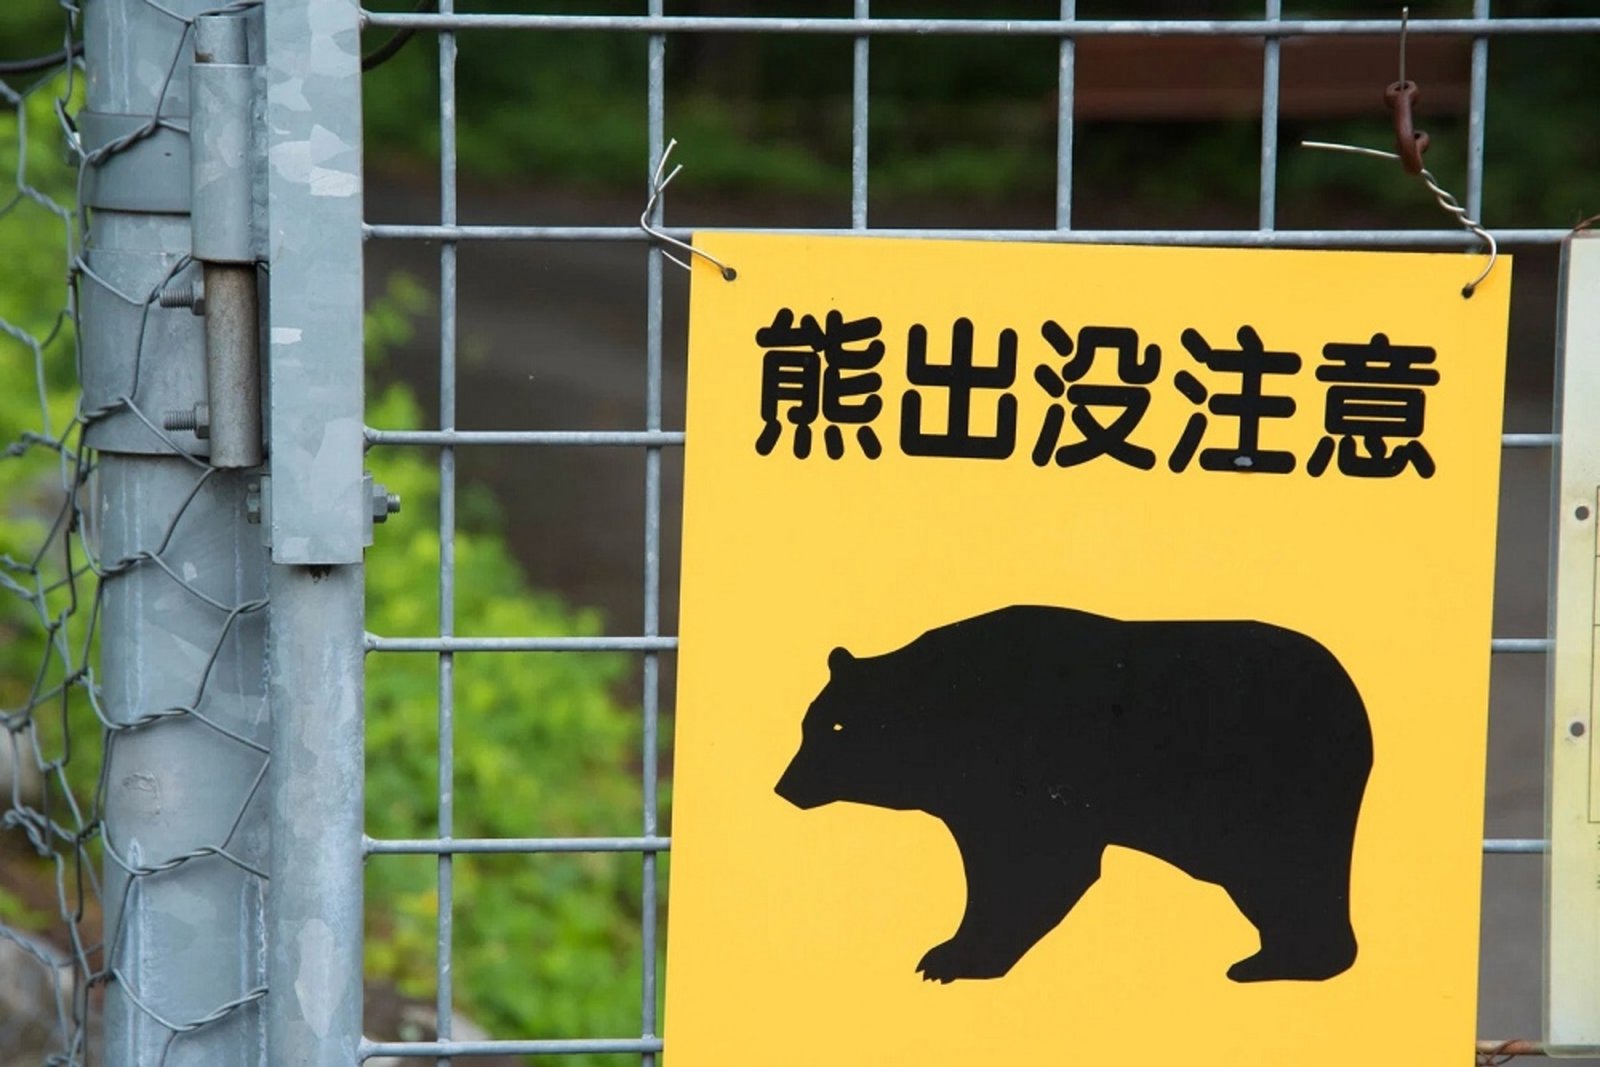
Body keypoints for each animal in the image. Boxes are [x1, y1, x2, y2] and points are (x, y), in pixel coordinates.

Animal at [774, 604, 1372, 985]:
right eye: (809, 724)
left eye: (835, 728)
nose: (784, 786)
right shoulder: (971, 798)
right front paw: (949, 953)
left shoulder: (1028, 774)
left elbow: (1038, 867)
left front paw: (951, 959)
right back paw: (1271, 959)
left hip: (1280, 789)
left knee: (1290, 873)